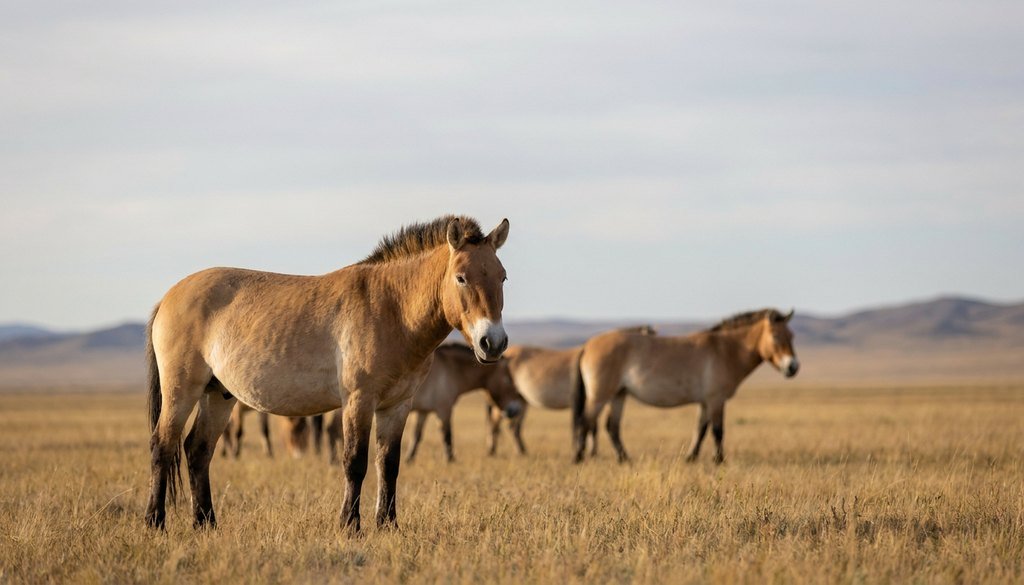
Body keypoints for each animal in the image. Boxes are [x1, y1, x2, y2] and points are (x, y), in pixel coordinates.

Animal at [144, 215, 510, 532]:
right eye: (461, 277)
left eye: (502, 276)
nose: (492, 343)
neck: (391, 308)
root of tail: (169, 296)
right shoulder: (358, 401)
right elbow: (355, 462)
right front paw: (350, 525)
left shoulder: (398, 405)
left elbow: (389, 464)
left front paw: (388, 525)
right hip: (182, 391)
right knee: (164, 446)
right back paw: (155, 522)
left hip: (218, 395)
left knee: (197, 451)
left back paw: (206, 523)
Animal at [486, 325, 655, 457]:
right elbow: (591, 425)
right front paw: (589, 452)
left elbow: (592, 426)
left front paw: (590, 451)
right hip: (507, 401)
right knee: (496, 424)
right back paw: (494, 451)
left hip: (520, 401)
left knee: (513, 428)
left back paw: (520, 451)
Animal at [572, 309, 799, 464]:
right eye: (776, 336)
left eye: (792, 336)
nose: (793, 367)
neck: (725, 350)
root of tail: (587, 346)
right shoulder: (716, 400)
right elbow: (718, 430)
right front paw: (719, 460)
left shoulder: (706, 402)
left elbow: (701, 429)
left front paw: (691, 458)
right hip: (600, 396)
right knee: (586, 421)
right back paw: (578, 457)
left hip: (619, 394)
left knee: (612, 426)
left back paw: (624, 459)